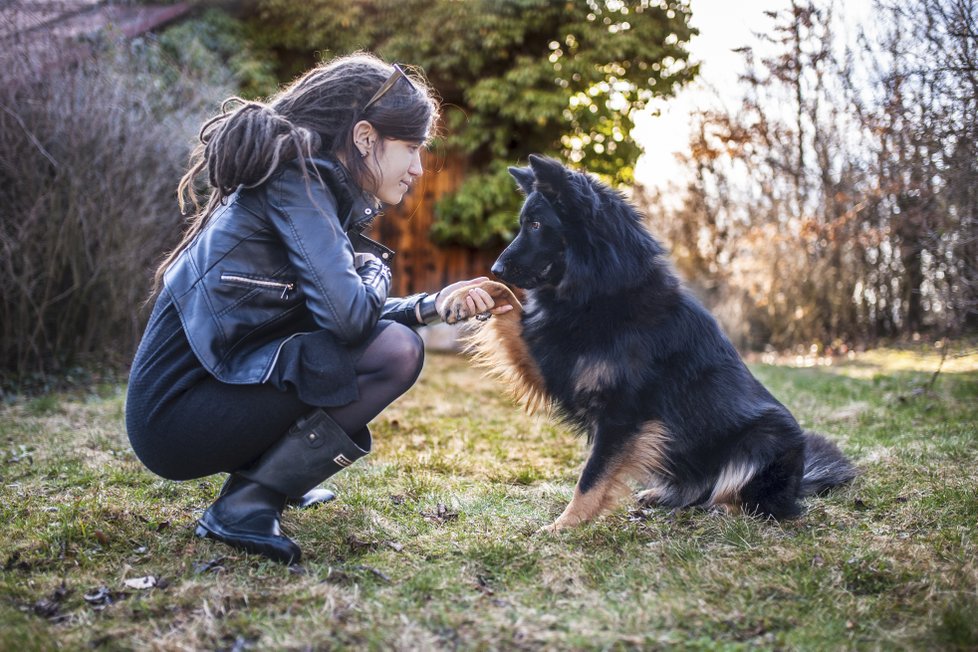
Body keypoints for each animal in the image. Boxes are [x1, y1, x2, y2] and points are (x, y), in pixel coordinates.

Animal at [442, 155, 856, 532]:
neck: (603, 293)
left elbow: (591, 477)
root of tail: (800, 481)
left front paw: (564, 526)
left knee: (753, 500)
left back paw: (725, 509)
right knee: (699, 491)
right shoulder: (548, 363)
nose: (495, 267)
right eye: (523, 224)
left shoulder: (622, 414)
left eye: (536, 224)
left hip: (766, 437)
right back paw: (665, 495)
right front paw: (466, 293)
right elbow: (507, 300)